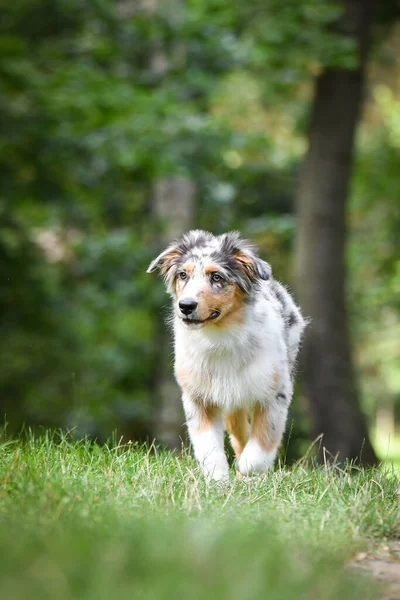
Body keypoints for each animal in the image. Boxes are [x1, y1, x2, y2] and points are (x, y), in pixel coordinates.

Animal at [147, 227, 306, 480]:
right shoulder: (198, 397)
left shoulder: (274, 394)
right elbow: (208, 446)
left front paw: (247, 468)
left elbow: (261, 442)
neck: (219, 336)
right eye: (182, 275)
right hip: (233, 404)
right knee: (239, 434)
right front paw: (218, 480)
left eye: (217, 277)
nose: (186, 306)